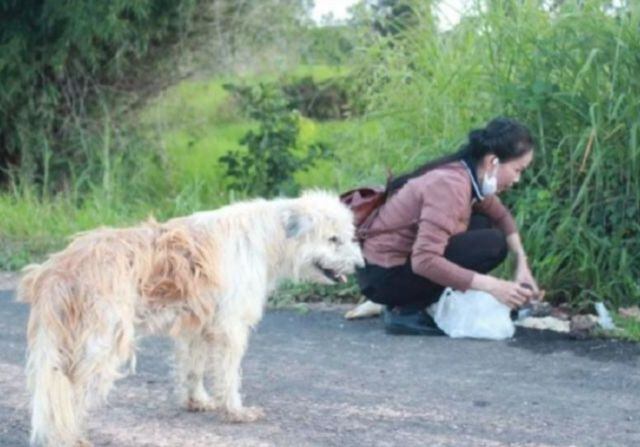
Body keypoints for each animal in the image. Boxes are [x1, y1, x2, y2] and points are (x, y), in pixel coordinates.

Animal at [17, 191, 362, 446]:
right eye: (332, 239)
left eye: (347, 237)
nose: (360, 266)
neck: (267, 237)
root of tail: (58, 269)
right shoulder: (230, 328)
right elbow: (228, 375)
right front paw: (235, 411)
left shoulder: (197, 326)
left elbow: (193, 369)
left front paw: (197, 401)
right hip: (101, 345)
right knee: (71, 393)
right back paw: (71, 437)